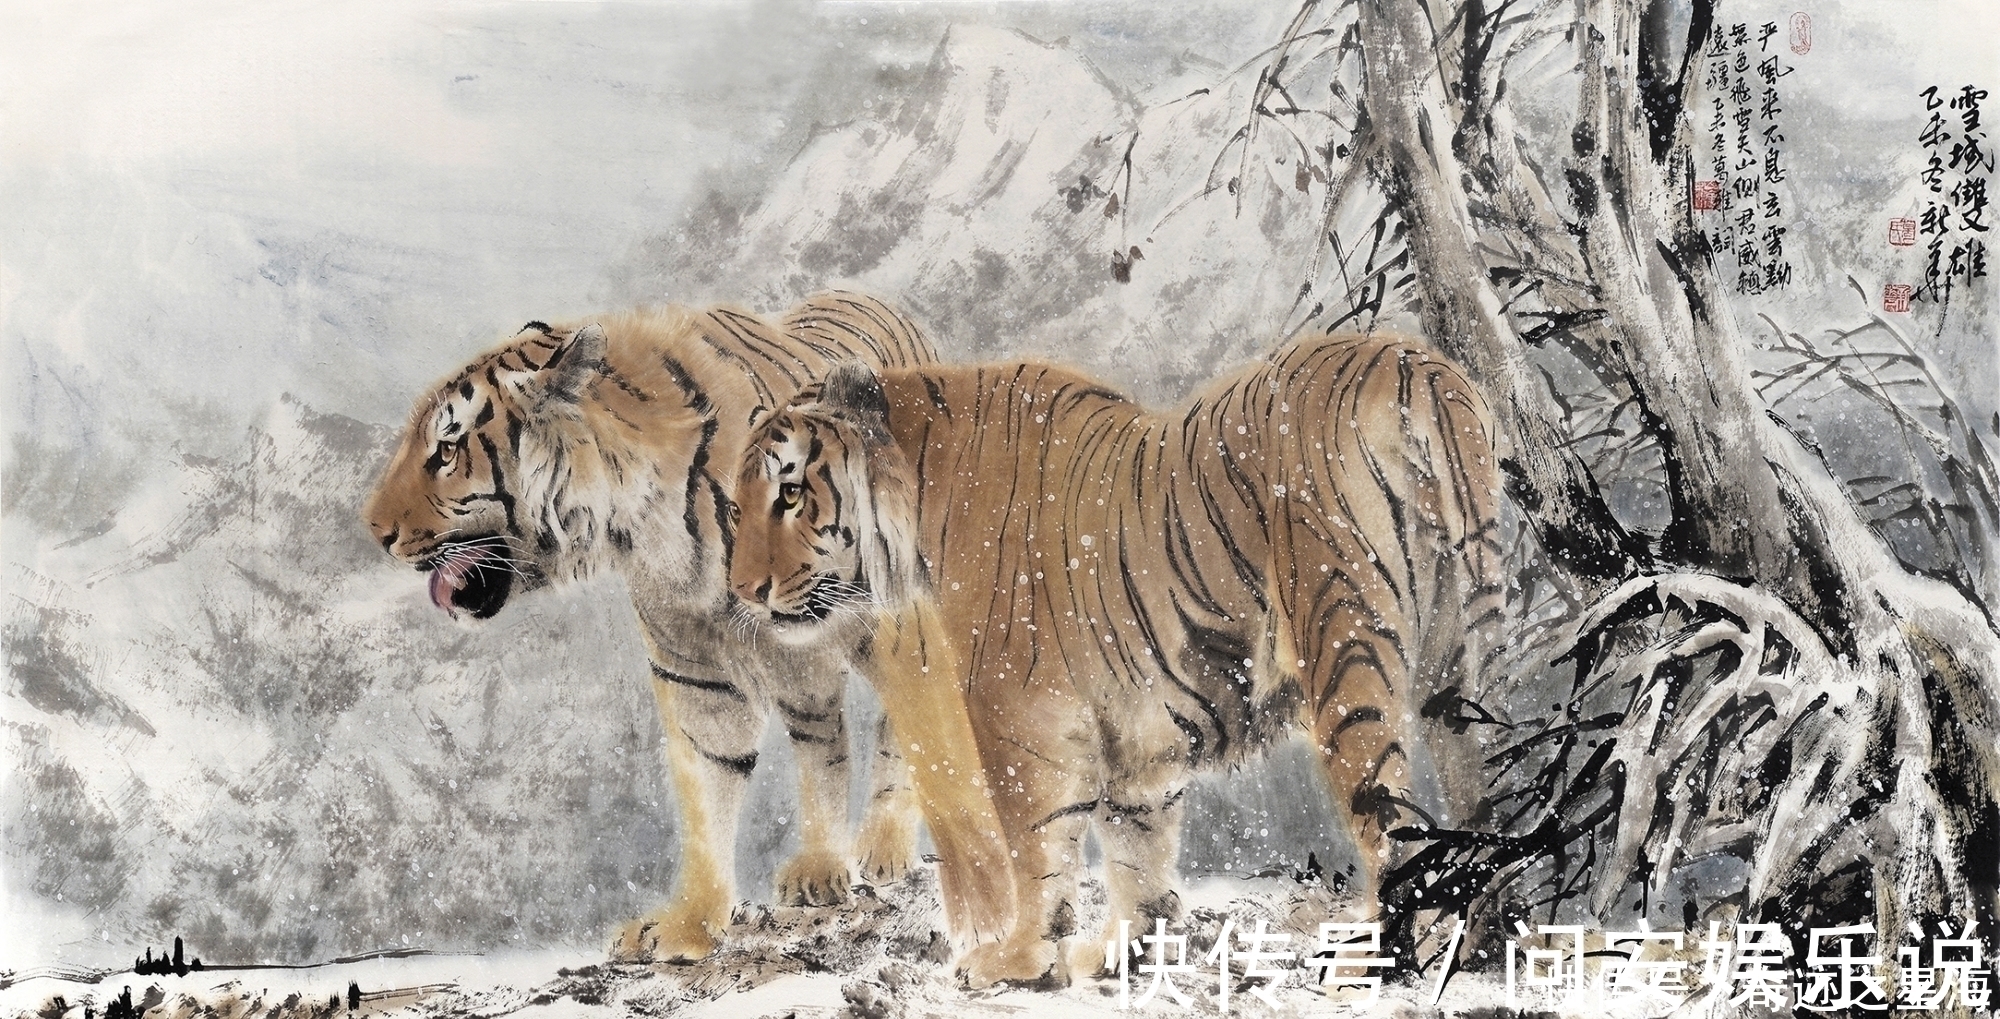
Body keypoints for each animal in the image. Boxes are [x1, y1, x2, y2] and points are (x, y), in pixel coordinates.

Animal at [360, 292, 1012, 964]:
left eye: (446, 451)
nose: (372, 530)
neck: (647, 520)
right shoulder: (699, 674)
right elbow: (711, 792)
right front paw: (690, 924)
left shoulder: (870, 634)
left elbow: (901, 743)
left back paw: (880, 849)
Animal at [727, 333, 1503, 986]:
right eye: (736, 506)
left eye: (790, 492)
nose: (742, 591)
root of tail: (1408, 359)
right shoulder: (1139, 737)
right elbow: (1139, 852)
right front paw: (1125, 953)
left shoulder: (1019, 717)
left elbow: (1034, 844)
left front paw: (1017, 956)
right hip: (1454, 669)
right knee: (1477, 807)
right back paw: (1479, 940)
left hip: (1343, 642)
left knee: (1390, 817)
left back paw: (1372, 959)